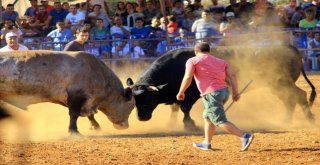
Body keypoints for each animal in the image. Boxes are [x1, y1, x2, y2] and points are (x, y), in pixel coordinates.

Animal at [127, 45, 316, 131]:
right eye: (135, 100)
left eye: (149, 99)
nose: (141, 117)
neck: (174, 67)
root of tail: (288, 46)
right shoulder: (177, 94)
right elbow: (174, 108)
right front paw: (170, 124)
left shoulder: (191, 94)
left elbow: (184, 108)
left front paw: (190, 125)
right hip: (277, 86)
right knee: (290, 100)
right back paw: (286, 120)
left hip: (282, 83)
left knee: (299, 96)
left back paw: (309, 119)